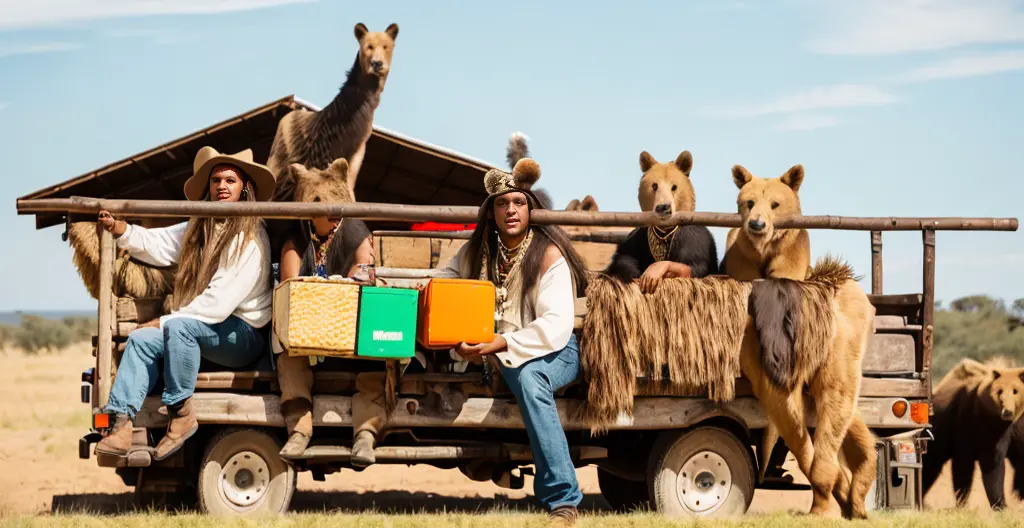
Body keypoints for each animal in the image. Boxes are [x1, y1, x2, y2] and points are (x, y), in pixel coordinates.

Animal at [602, 149, 716, 292]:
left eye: (674, 187)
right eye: (654, 186)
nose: (663, 207)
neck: (664, 230)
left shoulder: (694, 236)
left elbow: (695, 266)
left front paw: (657, 271)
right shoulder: (638, 237)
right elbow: (623, 257)